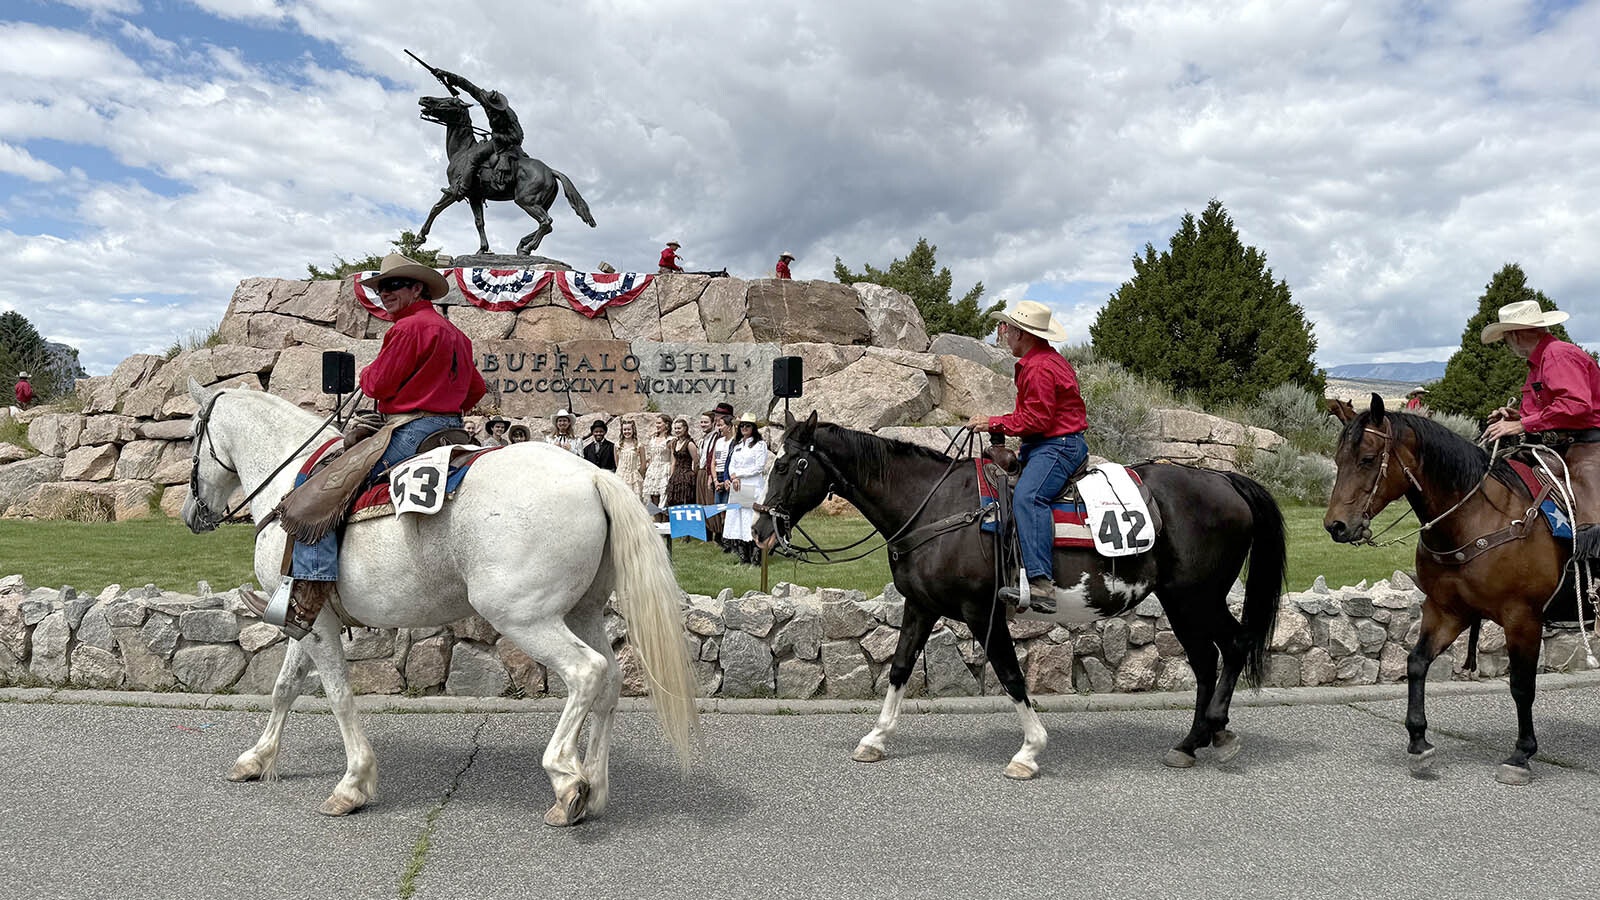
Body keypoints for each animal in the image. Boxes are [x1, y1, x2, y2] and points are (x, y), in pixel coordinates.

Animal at [178, 377, 697, 819]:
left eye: (191, 439)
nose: (190, 515)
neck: (288, 483)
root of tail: (592, 476)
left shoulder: (317, 623)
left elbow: (339, 695)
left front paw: (353, 784)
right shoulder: (305, 617)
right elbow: (285, 686)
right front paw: (256, 758)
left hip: (525, 618)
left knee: (586, 672)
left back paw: (567, 780)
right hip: (582, 612)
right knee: (610, 680)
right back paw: (594, 786)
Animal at [748, 409, 1286, 775]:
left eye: (790, 465)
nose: (759, 530)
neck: (935, 507)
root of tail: (1226, 480)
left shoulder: (981, 611)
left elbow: (1010, 675)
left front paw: (1029, 750)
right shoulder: (920, 605)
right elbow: (899, 670)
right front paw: (875, 739)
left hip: (1195, 597)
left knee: (1230, 647)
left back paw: (1211, 732)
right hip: (1185, 601)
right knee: (1210, 658)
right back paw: (1196, 740)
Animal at [1324, 392, 1587, 778]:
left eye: (1367, 459)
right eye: (1337, 459)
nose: (1336, 526)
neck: (1477, 518)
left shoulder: (1523, 618)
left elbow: (1522, 685)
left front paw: (1521, 754)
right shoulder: (1447, 610)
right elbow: (1416, 662)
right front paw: (1419, 741)